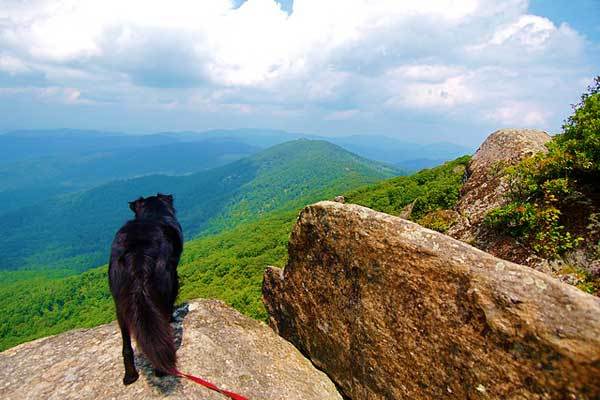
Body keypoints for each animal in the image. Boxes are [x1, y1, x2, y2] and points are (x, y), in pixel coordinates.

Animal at [108, 193, 183, 384]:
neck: (152, 214)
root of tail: (138, 253)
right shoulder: (174, 275)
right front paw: (174, 317)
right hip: (163, 285)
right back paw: (161, 370)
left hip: (120, 303)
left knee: (127, 347)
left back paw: (130, 375)